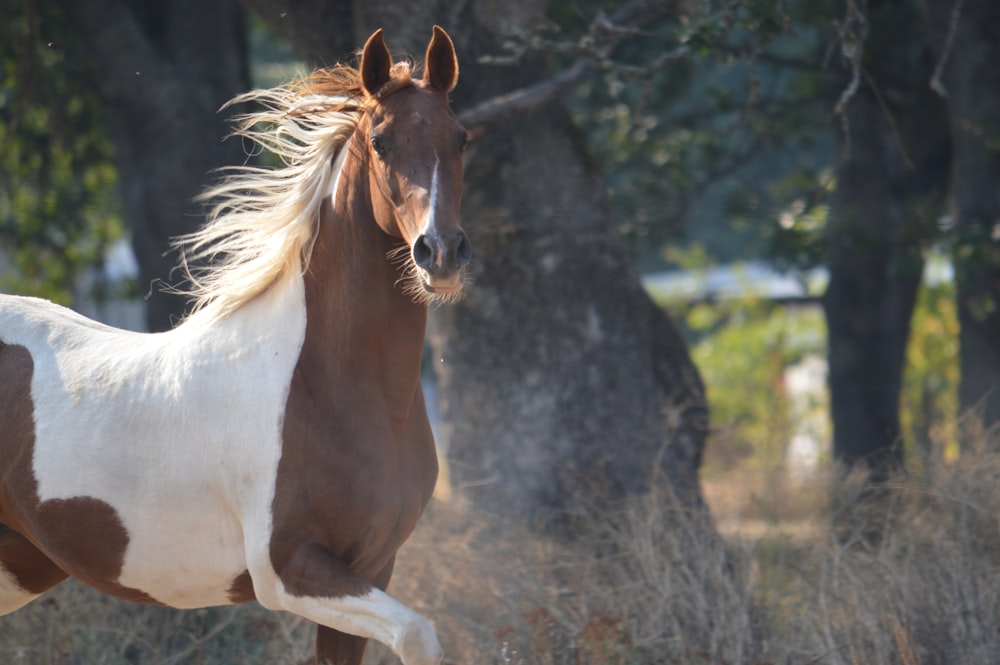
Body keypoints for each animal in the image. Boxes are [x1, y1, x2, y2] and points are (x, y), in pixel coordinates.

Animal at [0, 24, 466, 664]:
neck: (323, 386)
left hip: (18, 565)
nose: (440, 253)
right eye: (382, 142)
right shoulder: (289, 570)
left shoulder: (374, 565)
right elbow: (419, 634)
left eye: (461, 138)